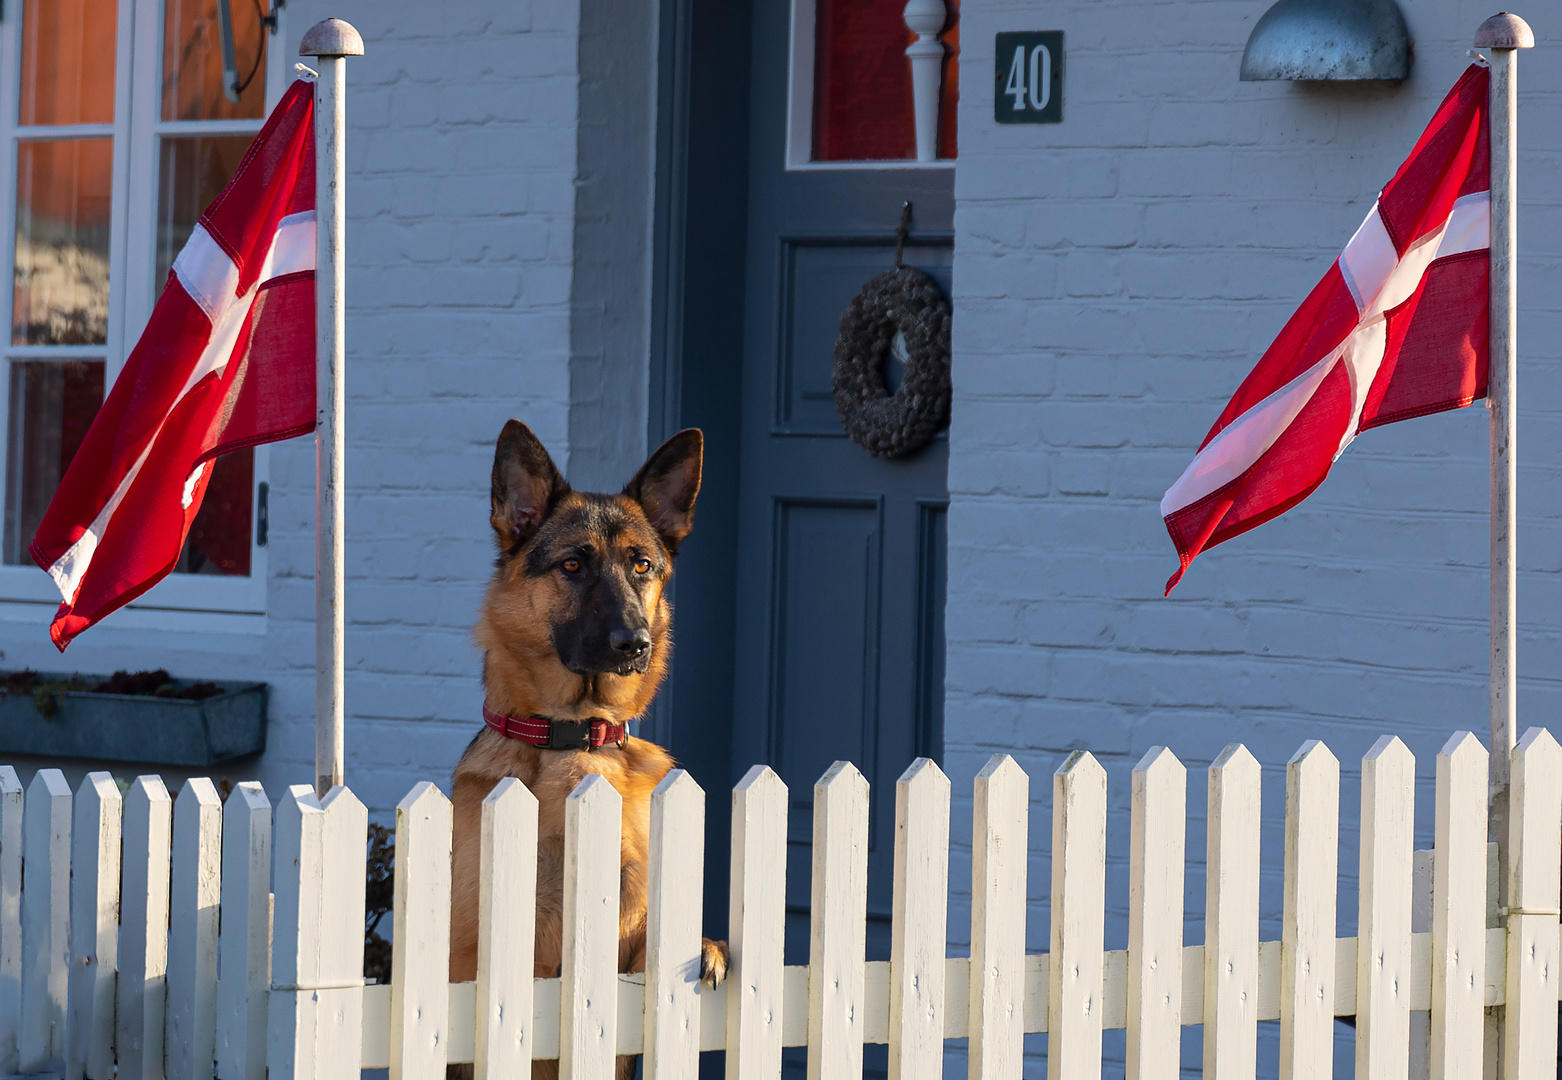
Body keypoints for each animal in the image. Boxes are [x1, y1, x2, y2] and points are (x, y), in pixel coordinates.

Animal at [446, 421, 724, 1080]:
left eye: (642, 565)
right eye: (573, 564)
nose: (635, 643)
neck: (576, 738)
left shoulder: (633, 927)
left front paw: (707, 946)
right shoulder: (479, 954)